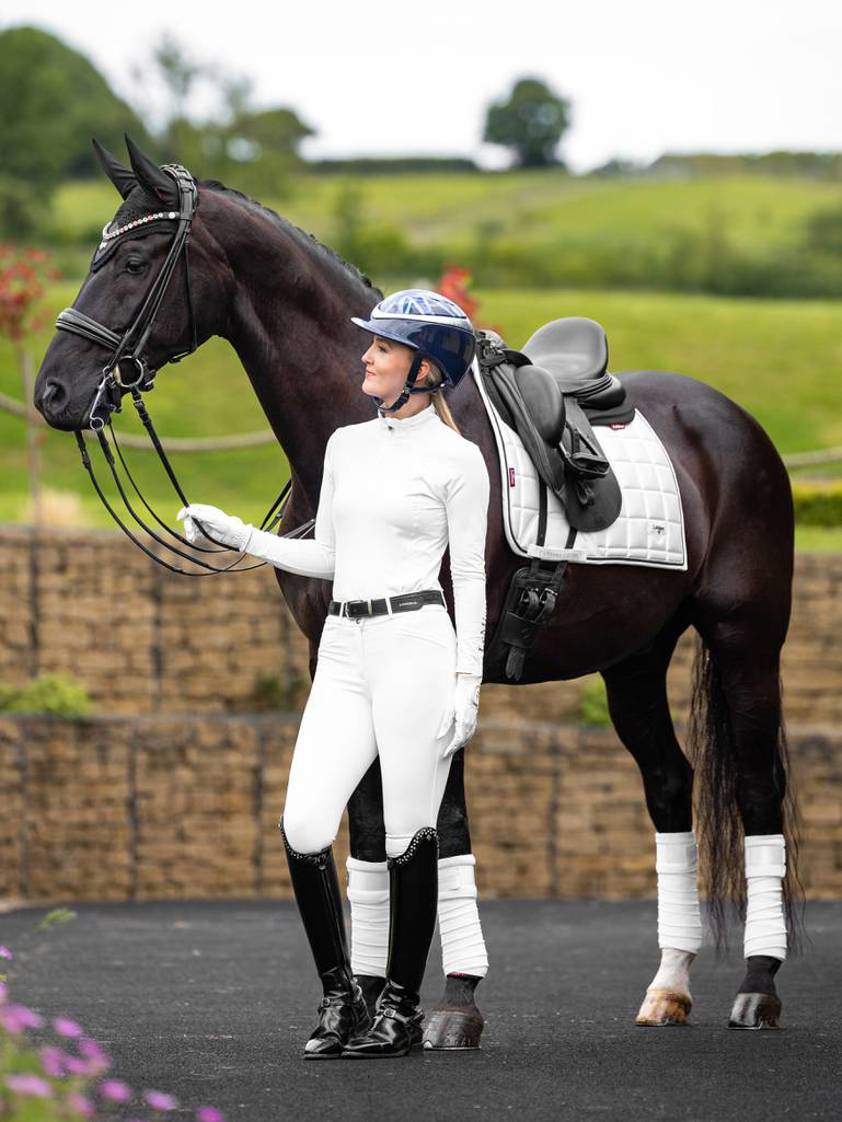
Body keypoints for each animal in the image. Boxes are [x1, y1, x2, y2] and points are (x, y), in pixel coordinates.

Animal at [34, 138, 803, 1032]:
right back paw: (669, 984)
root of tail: (732, 423)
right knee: (671, 787)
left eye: (132, 259)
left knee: (757, 792)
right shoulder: (337, 658)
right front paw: (366, 1003)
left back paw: (758, 985)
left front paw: (454, 1003)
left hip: (746, 640)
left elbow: (443, 823)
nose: (54, 390)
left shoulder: (441, 667)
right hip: (635, 658)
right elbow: (368, 830)